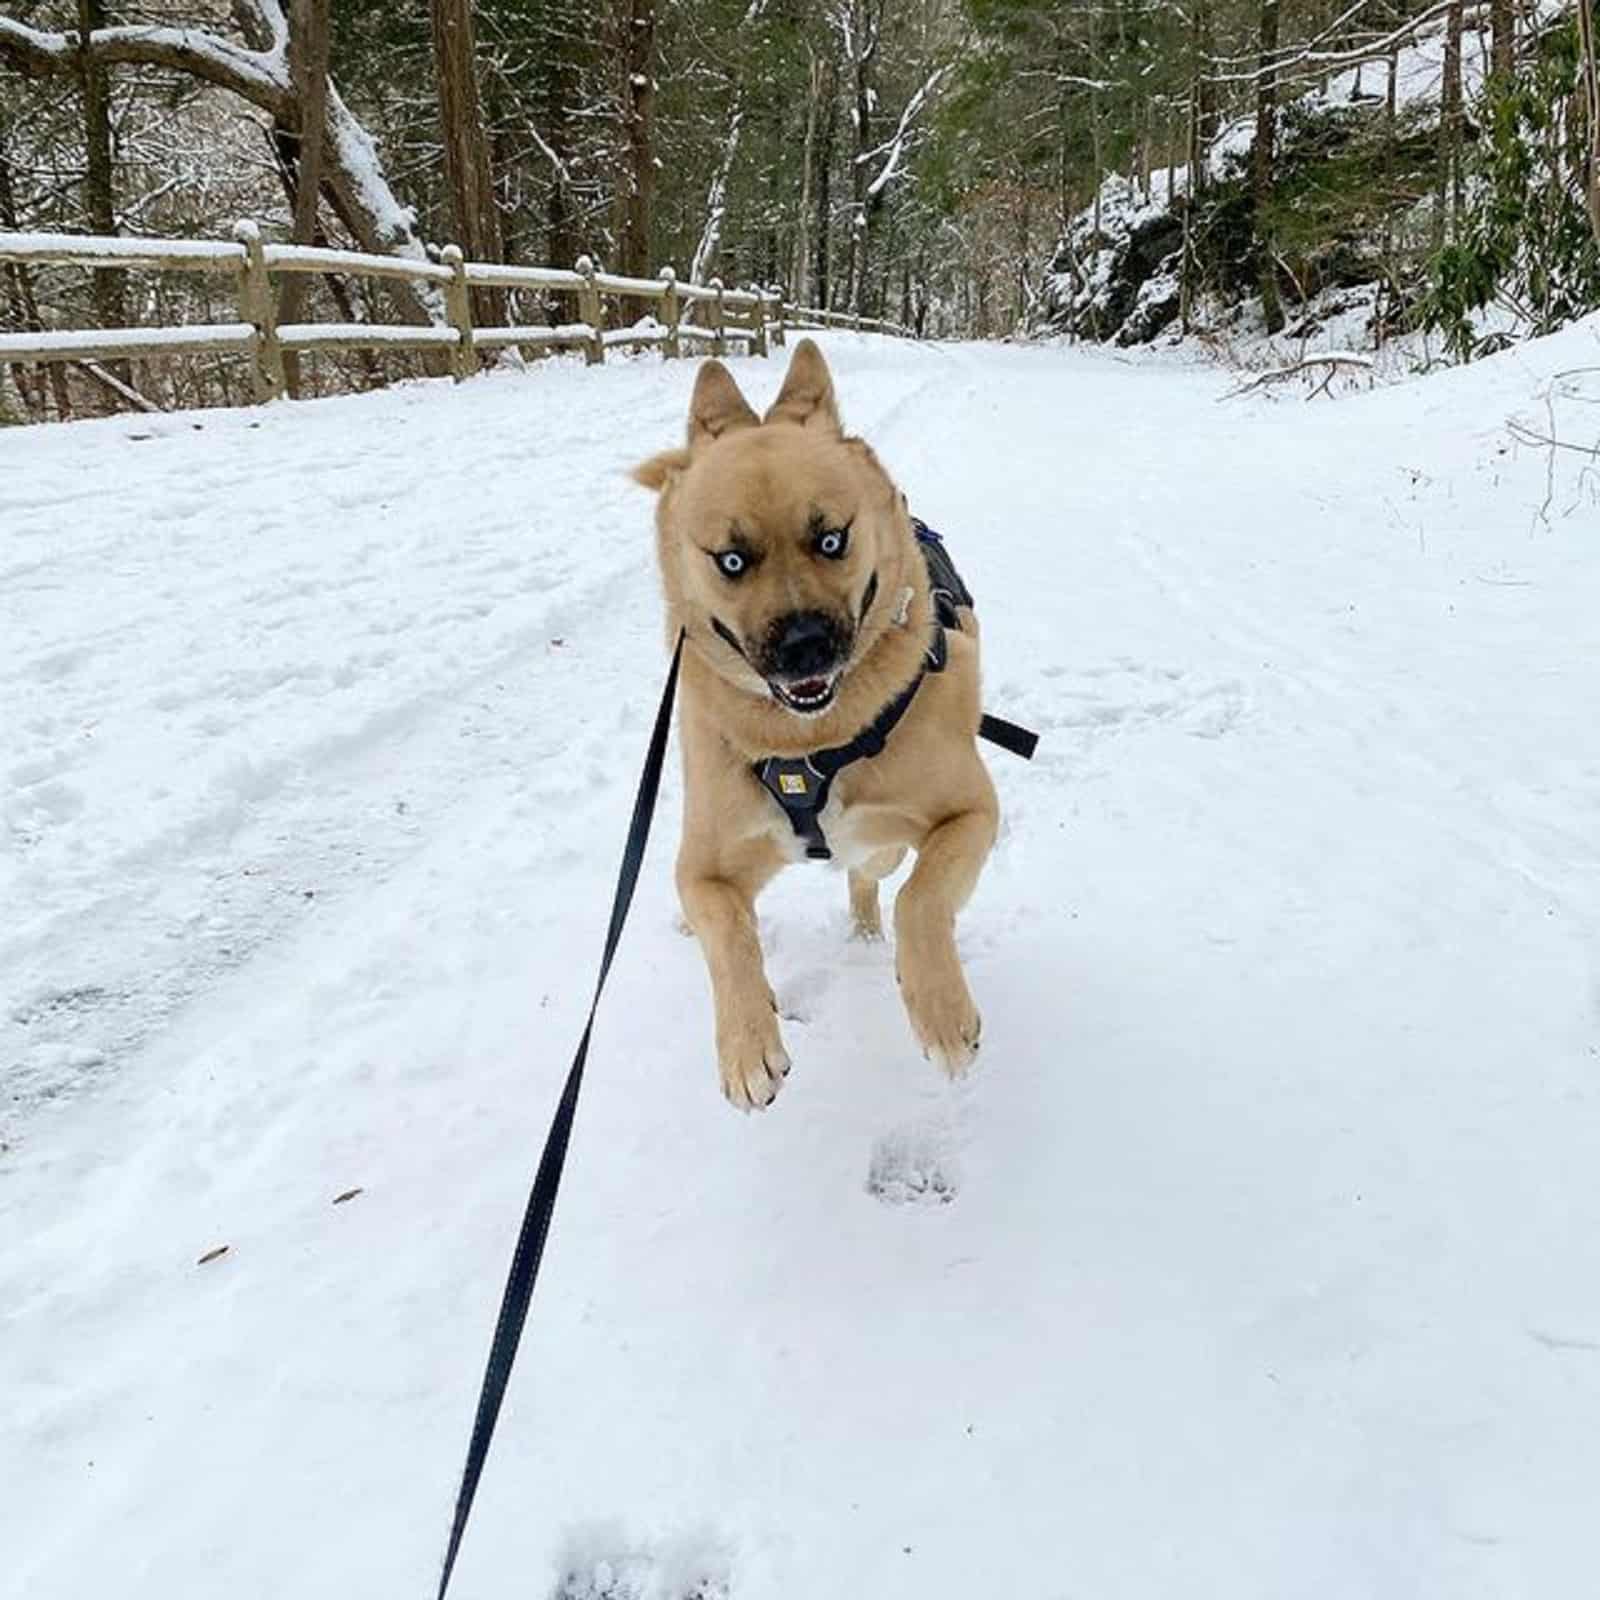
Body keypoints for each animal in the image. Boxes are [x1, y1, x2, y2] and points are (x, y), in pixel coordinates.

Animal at [630, 342, 992, 1107]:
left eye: (831, 540)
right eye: (731, 560)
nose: (805, 646)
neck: (809, 745)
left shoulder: (972, 814)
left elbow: (922, 899)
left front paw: (942, 1013)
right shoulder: (708, 868)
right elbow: (726, 930)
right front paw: (746, 1044)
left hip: (882, 845)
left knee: (873, 879)